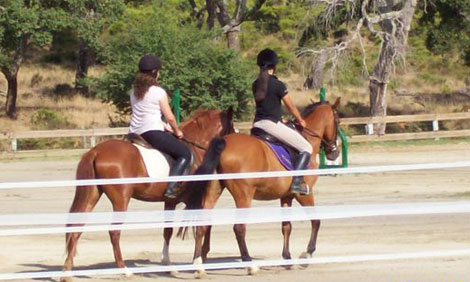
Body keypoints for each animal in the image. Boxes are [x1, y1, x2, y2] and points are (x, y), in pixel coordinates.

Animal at [59, 108, 234, 282]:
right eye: (231, 126)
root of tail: (95, 152)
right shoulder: (195, 199)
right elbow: (201, 227)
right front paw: (198, 265)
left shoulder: (170, 202)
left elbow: (168, 231)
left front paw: (168, 265)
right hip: (121, 200)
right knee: (114, 232)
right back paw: (125, 270)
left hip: (92, 194)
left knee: (76, 228)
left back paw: (67, 273)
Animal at [185, 98, 340, 276]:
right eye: (338, 121)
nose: (334, 153)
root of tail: (223, 143)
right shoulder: (305, 194)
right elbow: (316, 221)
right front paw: (306, 254)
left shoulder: (286, 196)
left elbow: (286, 226)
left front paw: (287, 259)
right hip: (243, 196)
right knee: (239, 228)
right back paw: (249, 264)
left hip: (214, 190)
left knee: (202, 224)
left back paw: (198, 266)